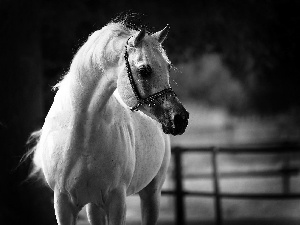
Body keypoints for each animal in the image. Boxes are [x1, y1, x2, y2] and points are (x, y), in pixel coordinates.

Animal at [29, 21, 189, 225]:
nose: (179, 118)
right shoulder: (63, 204)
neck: (81, 132)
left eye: (168, 67)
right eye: (144, 70)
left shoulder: (116, 201)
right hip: (94, 205)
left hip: (151, 194)